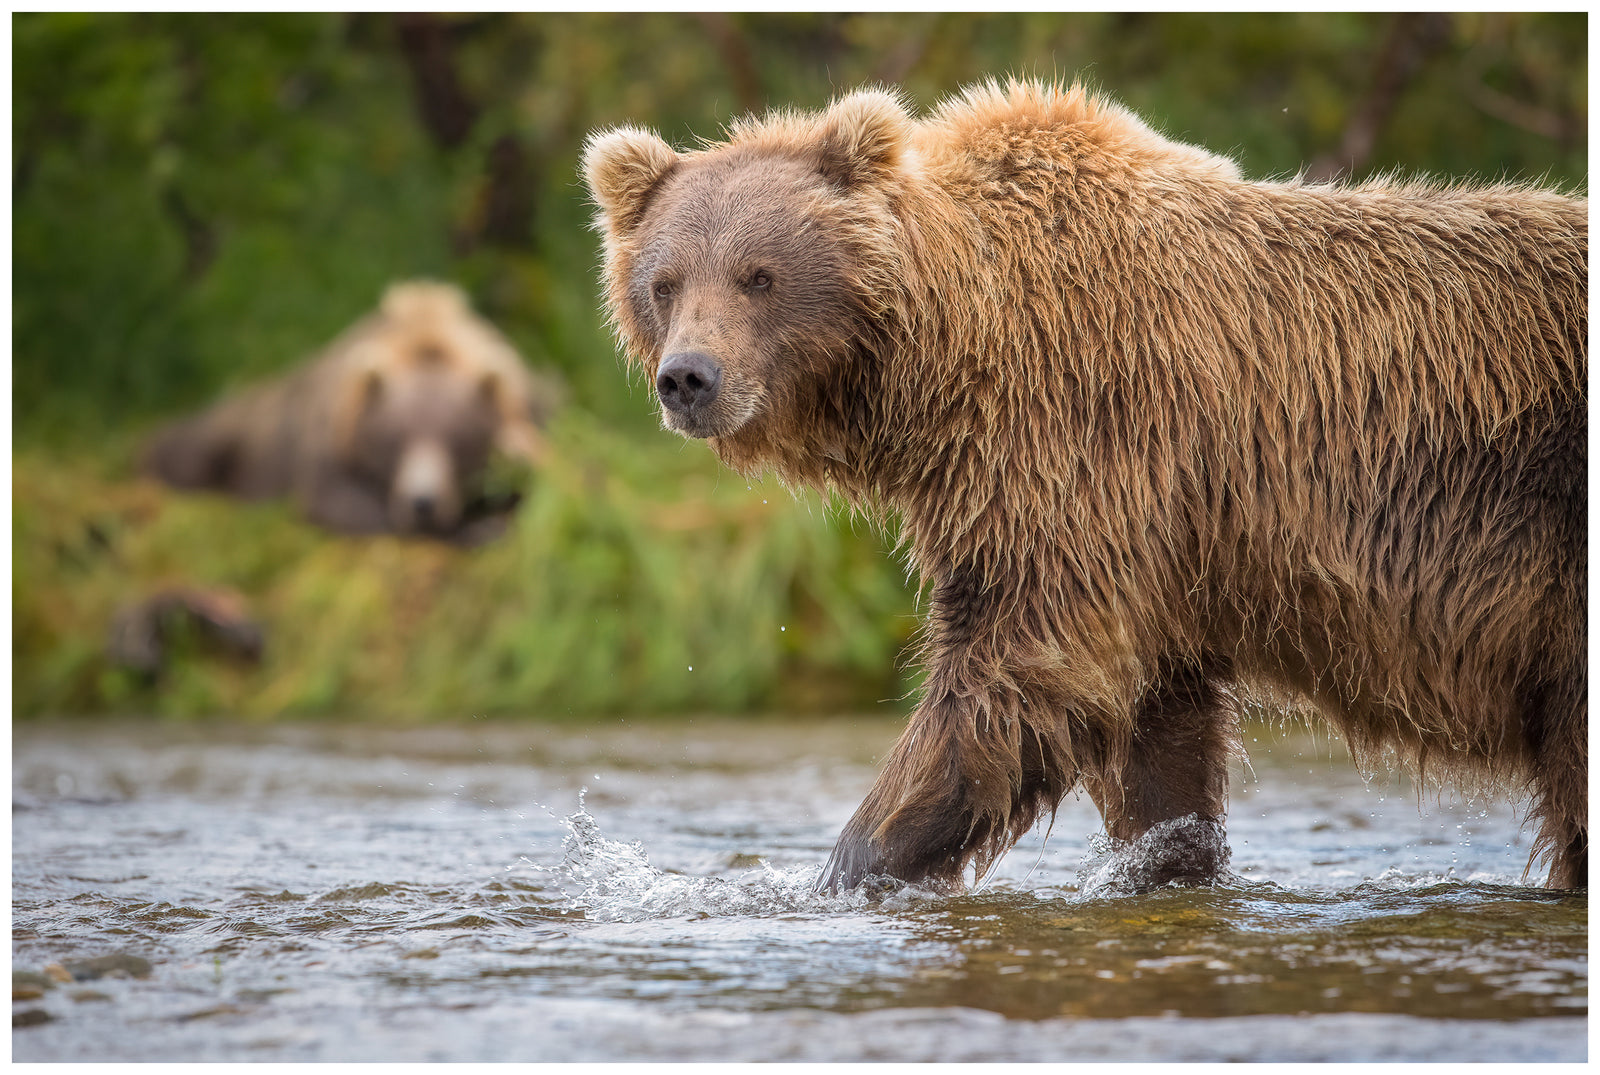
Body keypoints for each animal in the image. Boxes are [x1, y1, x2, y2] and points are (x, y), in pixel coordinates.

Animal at [143, 281, 559, 543]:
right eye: (395, 439)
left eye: (459, 440)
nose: (422, 502)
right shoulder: (333, 432)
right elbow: (338, 498)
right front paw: (471, 530)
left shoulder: (529, 411)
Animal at [582, 79, 1587, 891]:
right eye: (664, 281)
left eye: (759, 275)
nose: (689, 377)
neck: (951, 356)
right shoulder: (1162, 545)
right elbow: (1154, 736)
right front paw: (1170, 859)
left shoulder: (1081, 443)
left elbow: (1022, 670)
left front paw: (847, 869)